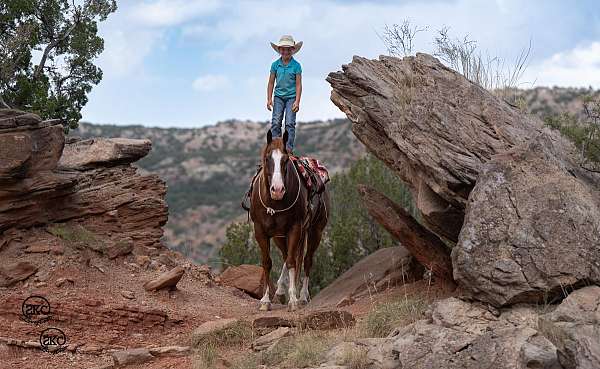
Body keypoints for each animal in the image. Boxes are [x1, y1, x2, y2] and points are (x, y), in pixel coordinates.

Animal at [250, 129, 330, 310]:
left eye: (285, 159)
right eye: (267, 158)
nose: (277, 190)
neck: (274, 202)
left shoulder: (295, 228)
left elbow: (293, 262)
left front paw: (293, 299)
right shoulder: (261, 231)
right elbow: (268, 262)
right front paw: (265, 300)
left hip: (315, 231)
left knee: (306, 260)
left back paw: (303, 296)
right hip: (280, 237)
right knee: (287, 257)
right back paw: (280, 291)